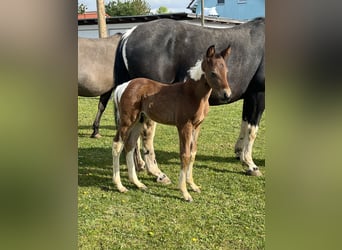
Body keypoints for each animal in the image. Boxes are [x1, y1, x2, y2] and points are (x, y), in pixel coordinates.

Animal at [112, 45, 232, 201]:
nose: (227, 94)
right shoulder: (184, 126)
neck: (192, 94)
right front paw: (185, 192)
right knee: (117, 145)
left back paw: (137, 183)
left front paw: (193, 185)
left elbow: (193, 153)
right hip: (127, 121)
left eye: (226, 71)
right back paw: (120, 186)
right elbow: (185, 155)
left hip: (138, 121)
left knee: (130, 145)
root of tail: (124, 85)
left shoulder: (197, 126)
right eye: (213, 73)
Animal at [115, 17, 264, 178]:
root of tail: (129, 34)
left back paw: (139, 165)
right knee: (146, 132)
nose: (226, 94)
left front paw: (239, 153)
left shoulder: (249, 97)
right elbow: (252, 130)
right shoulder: (258, 94)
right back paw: (156, 171)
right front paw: (250, 164)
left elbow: (245, 124)